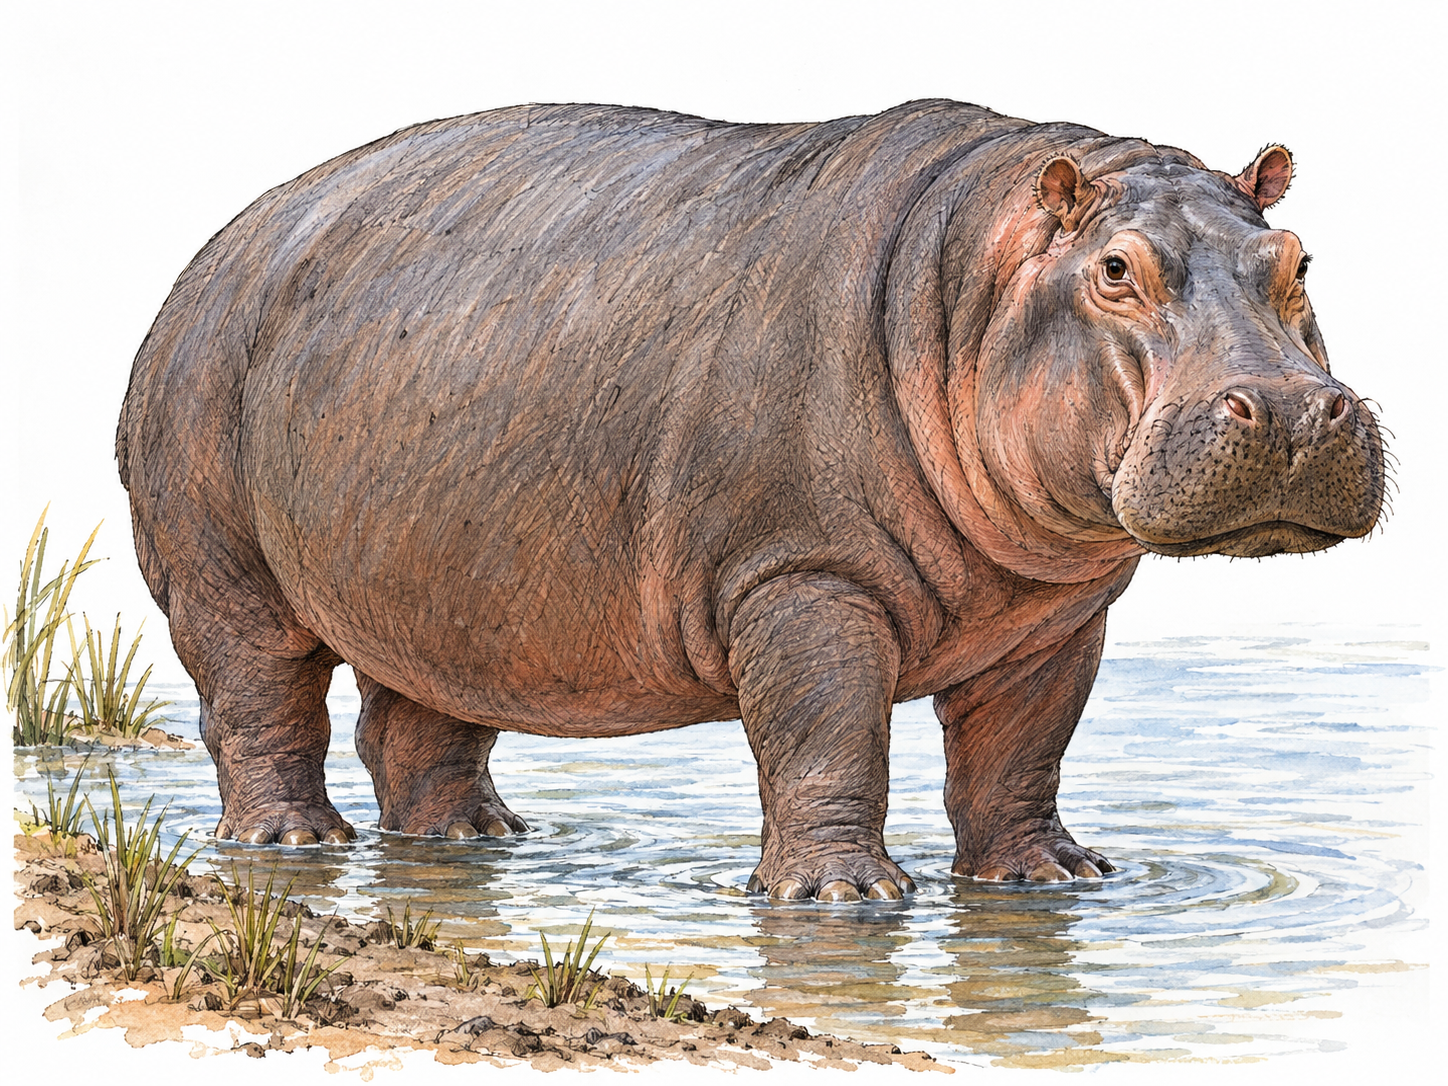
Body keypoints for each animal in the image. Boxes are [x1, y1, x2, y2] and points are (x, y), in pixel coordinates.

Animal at [117, 100, 1383, 901]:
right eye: (1115, 270)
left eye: (1298, 261)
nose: (1287, 410)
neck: (973, 285)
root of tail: (211, 250)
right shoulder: (800, 575)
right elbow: (826, 739)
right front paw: (842, 901)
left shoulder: (1055, 617)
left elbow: (1020, 755)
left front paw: (1050, 881)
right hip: (219, 555)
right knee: (258, 700)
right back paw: (286, 846)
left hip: (443, 583)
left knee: (417, 721)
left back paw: (478, 845)